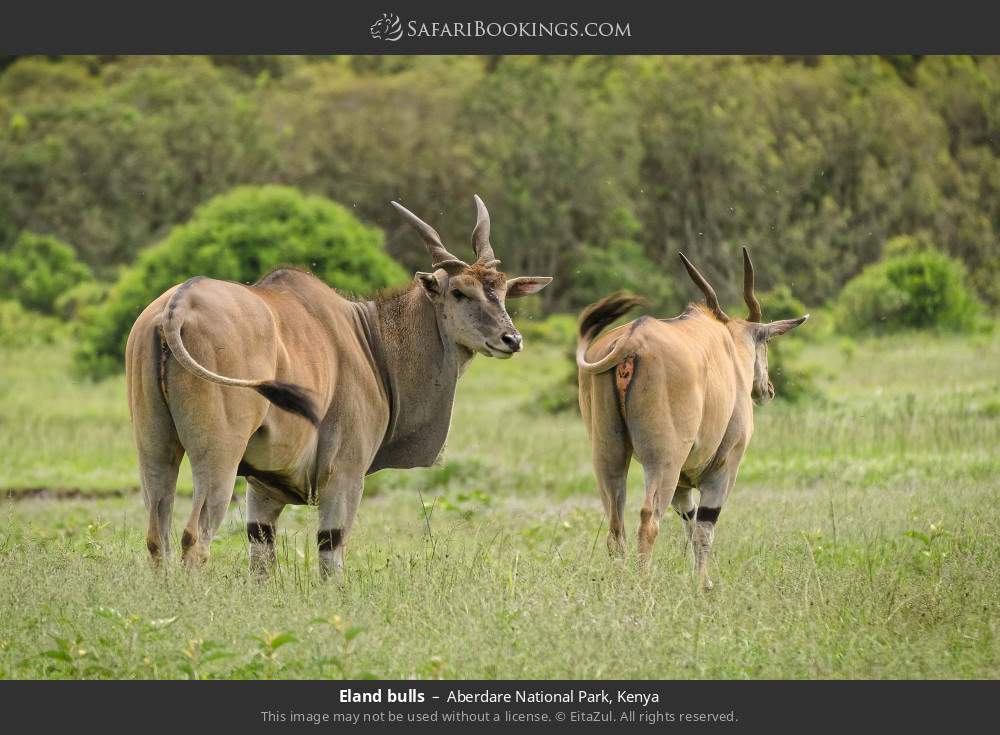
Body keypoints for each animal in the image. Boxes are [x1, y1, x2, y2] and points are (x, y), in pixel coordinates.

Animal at [127, 197, 556, 580]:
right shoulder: (345, 475)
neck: (370, 339)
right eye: (459, 292)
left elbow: (261, 559)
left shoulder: (262, 489)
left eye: (502, 290)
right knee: (194, 537)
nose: (511, 339)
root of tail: (177, 307)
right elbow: (331, 555)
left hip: (155, 450)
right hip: (218, 457)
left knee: (157, 535)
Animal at [580, 250, 804, 588]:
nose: (768, 389)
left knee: (615, 528)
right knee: (648, 520)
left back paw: (619, 585)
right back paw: (644, 585)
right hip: (663, 462)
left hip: (609, 457)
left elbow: (688, 521)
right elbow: (703, 530)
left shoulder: (683, 485)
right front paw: (703, 584)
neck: (728, 349)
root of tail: (632, 340)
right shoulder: (723, 470)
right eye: (764, 343)